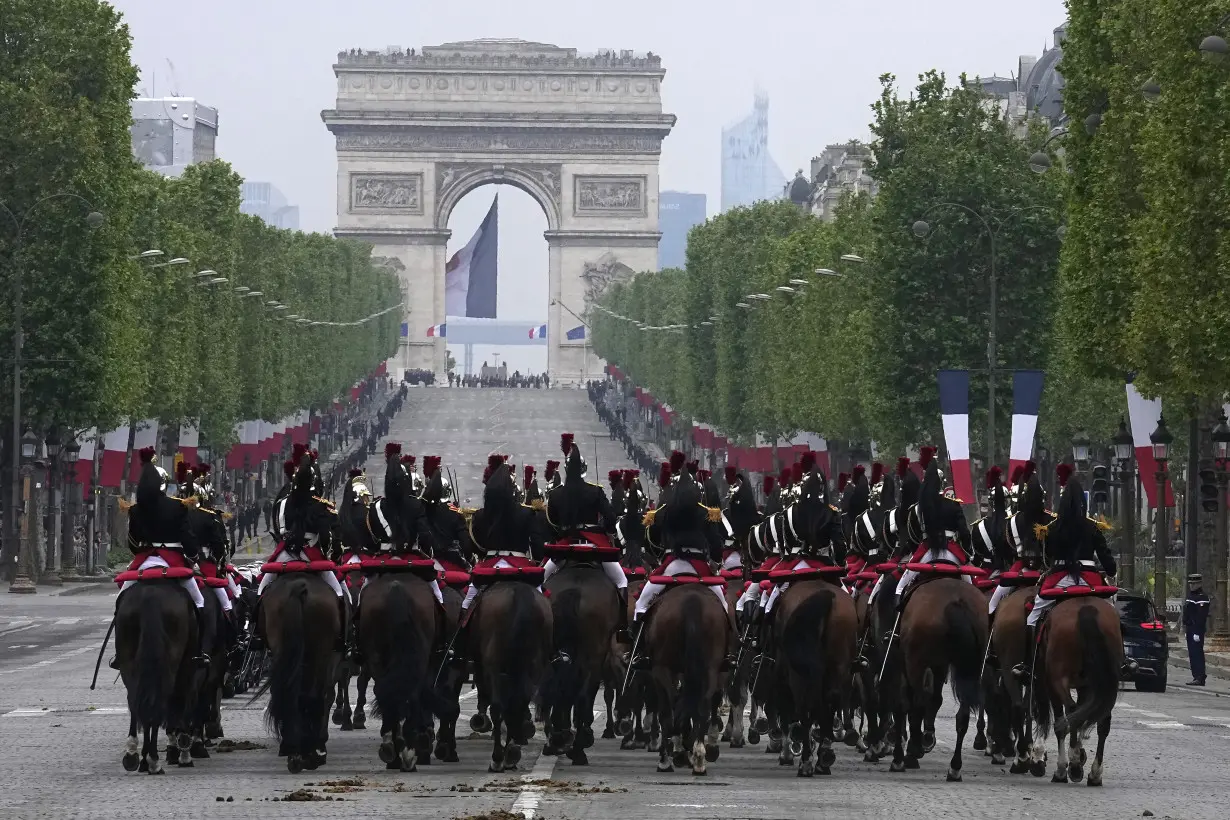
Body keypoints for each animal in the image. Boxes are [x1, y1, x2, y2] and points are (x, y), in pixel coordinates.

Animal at [115, 582, 196, 776]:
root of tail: (151, 597)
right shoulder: (188, 670)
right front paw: (183, 752)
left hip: (128, 662)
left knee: (136, 701)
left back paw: (133, 754)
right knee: (161, 701)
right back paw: (153, 760)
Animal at [257, 575, 339, 772]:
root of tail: (299, 585)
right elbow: (326, 696)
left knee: (289, 693)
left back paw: (294, 750)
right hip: (320, 652)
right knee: (313, 696)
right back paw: (311, 753)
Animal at [359, 575, 445, 772]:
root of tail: (396, 587)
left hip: (376, 658)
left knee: (387, 694)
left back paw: (393, 748)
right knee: (410, 695)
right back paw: (408, 752)